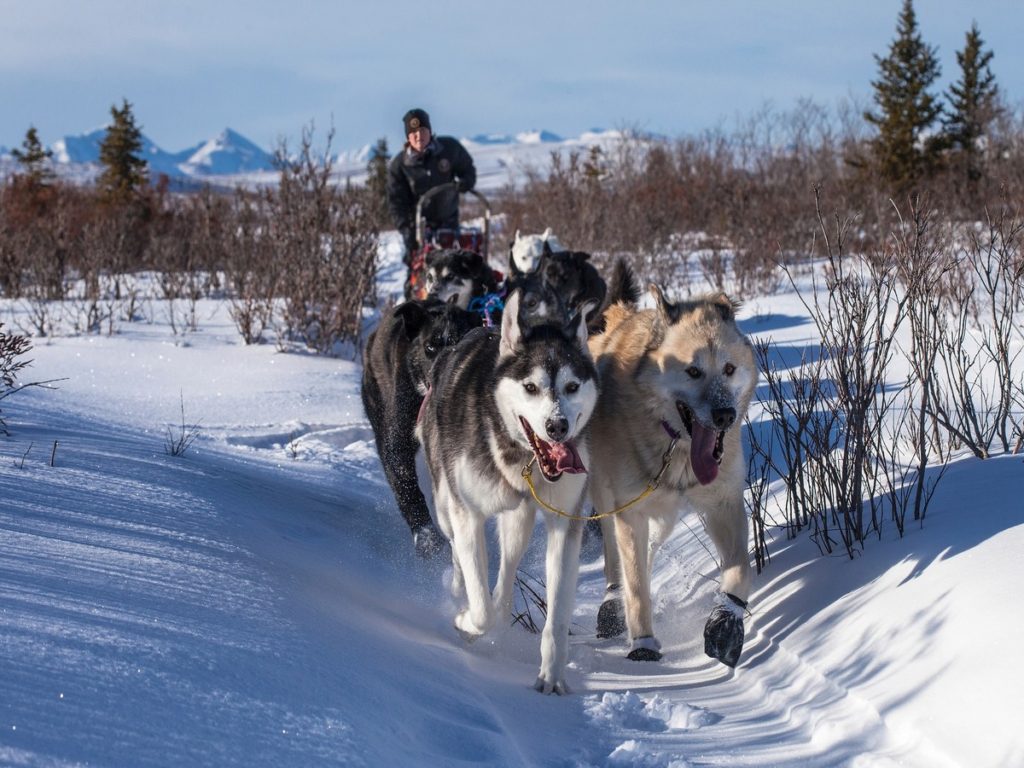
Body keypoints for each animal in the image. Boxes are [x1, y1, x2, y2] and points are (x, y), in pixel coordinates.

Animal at [417, 290, 598, 696]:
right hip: (446, 508)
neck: (523, 456)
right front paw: (466, 620)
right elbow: (481, 609)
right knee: (459, 554)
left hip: (519, 519)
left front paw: (551, 677)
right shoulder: (467, 514)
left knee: (506, 573)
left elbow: (555, 616)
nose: (557, 425)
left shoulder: (565, 523)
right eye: (530, 387)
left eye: (572, 387)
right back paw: (458, 589)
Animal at [589, 282, 757, 667]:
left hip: (663, 516)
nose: (725, 415)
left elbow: (740, 568)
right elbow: (636, 586)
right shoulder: (629, 513)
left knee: (650, 546)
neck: (675, 444)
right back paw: (613, 602)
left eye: (729, 368)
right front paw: (643, 642)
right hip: (605, 499)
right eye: (692, 372)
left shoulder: (723, 502)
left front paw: (726, 620)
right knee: (615, 556)